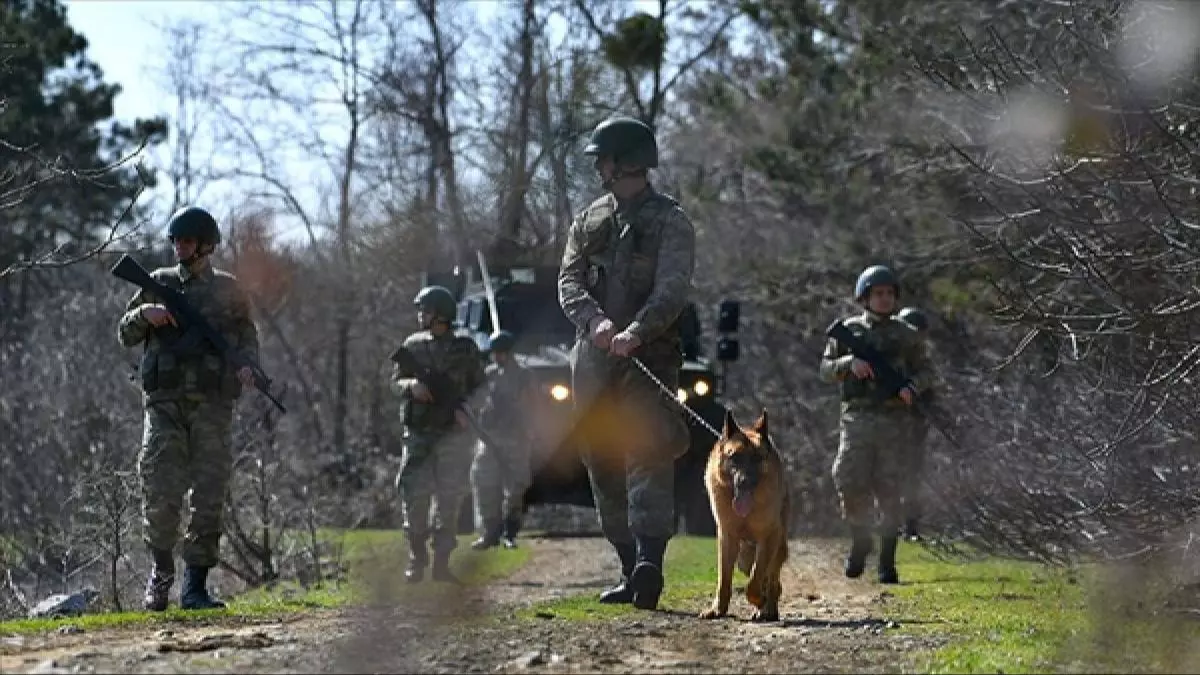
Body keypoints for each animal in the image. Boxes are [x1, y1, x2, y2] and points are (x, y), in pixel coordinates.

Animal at [700, 403, 792, 619]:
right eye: (734, 457)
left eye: (757, 458)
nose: (744, 482)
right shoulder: (727, 538)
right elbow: (724, 579)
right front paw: (718, 609)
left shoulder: (768, 537)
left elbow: (755, 581)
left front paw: (760, 601)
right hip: (744, 556)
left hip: (776, 547)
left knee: (772, 580)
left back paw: (768, 609)